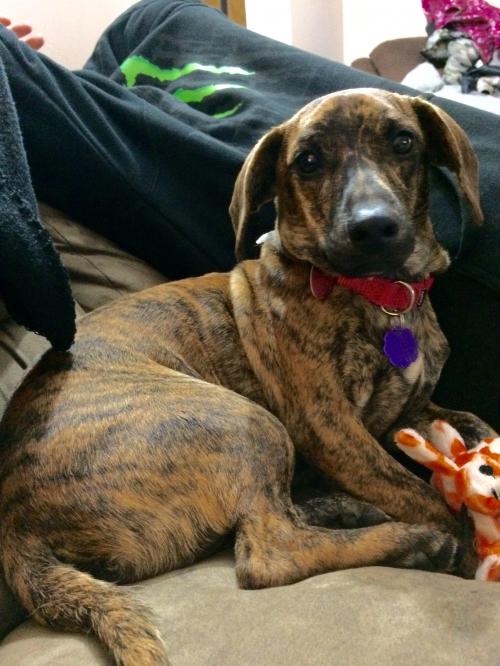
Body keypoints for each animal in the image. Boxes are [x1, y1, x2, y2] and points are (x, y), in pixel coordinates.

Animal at [0, 89, 495, 666]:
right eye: (307, 161)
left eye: (403, 142)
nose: (373, 227)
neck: (381, 295)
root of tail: (15, 522)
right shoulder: (333, 430)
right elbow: (421, 495)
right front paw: (465, 543)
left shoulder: (413, 411)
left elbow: (472, 422)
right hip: (246, 421)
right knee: (270, 550)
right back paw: (411, 542)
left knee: (277, 518)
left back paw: (344, 508)